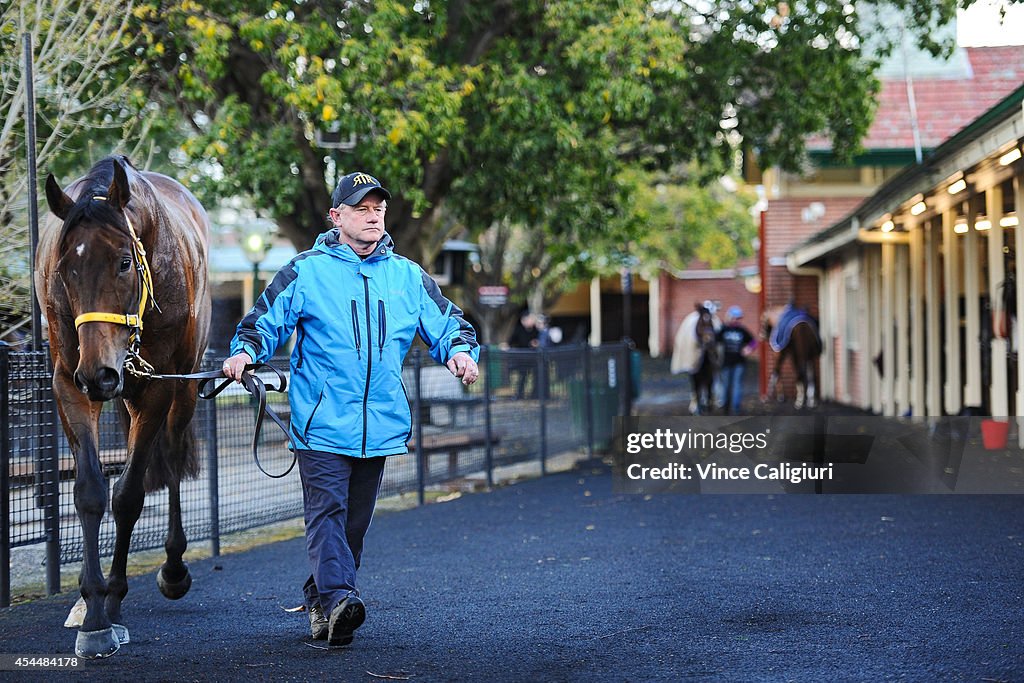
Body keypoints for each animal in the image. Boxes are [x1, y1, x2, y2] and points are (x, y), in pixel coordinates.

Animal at [35, 154, 209, 655]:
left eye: (124, 262)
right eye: (65, 271)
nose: (100, 373)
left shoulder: (159, 387)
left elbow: (129, 495)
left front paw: (112, 599)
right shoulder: (69, 381)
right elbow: (91, 492)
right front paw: (93, 610)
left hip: (181, 388)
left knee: (172, 456)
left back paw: (173, 567)